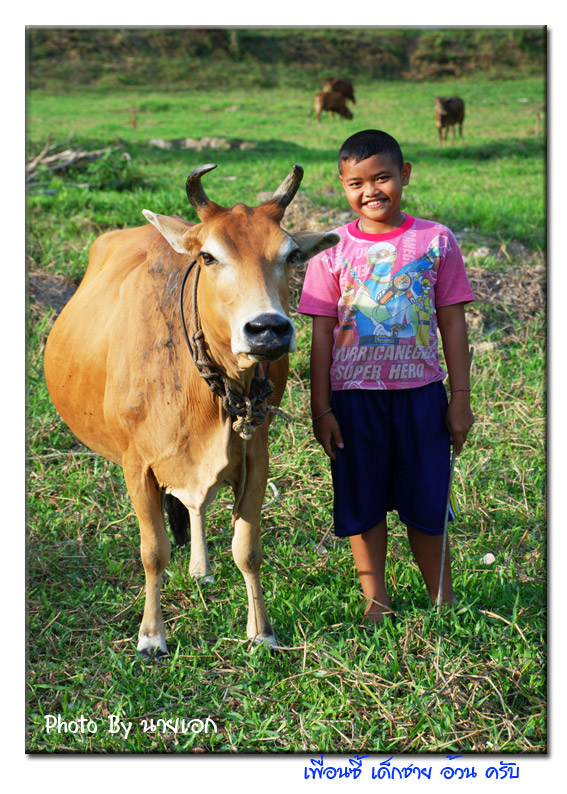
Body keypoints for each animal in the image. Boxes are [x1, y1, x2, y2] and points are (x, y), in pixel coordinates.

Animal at [43, 163, 339, 660]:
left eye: (293, 254)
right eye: (208, 257)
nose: (268, 330)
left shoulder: (256, 455)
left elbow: (247, 549)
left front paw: (261, 631)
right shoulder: (136, 465)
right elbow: (154, 551)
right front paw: (151, 635)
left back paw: (201, 567)